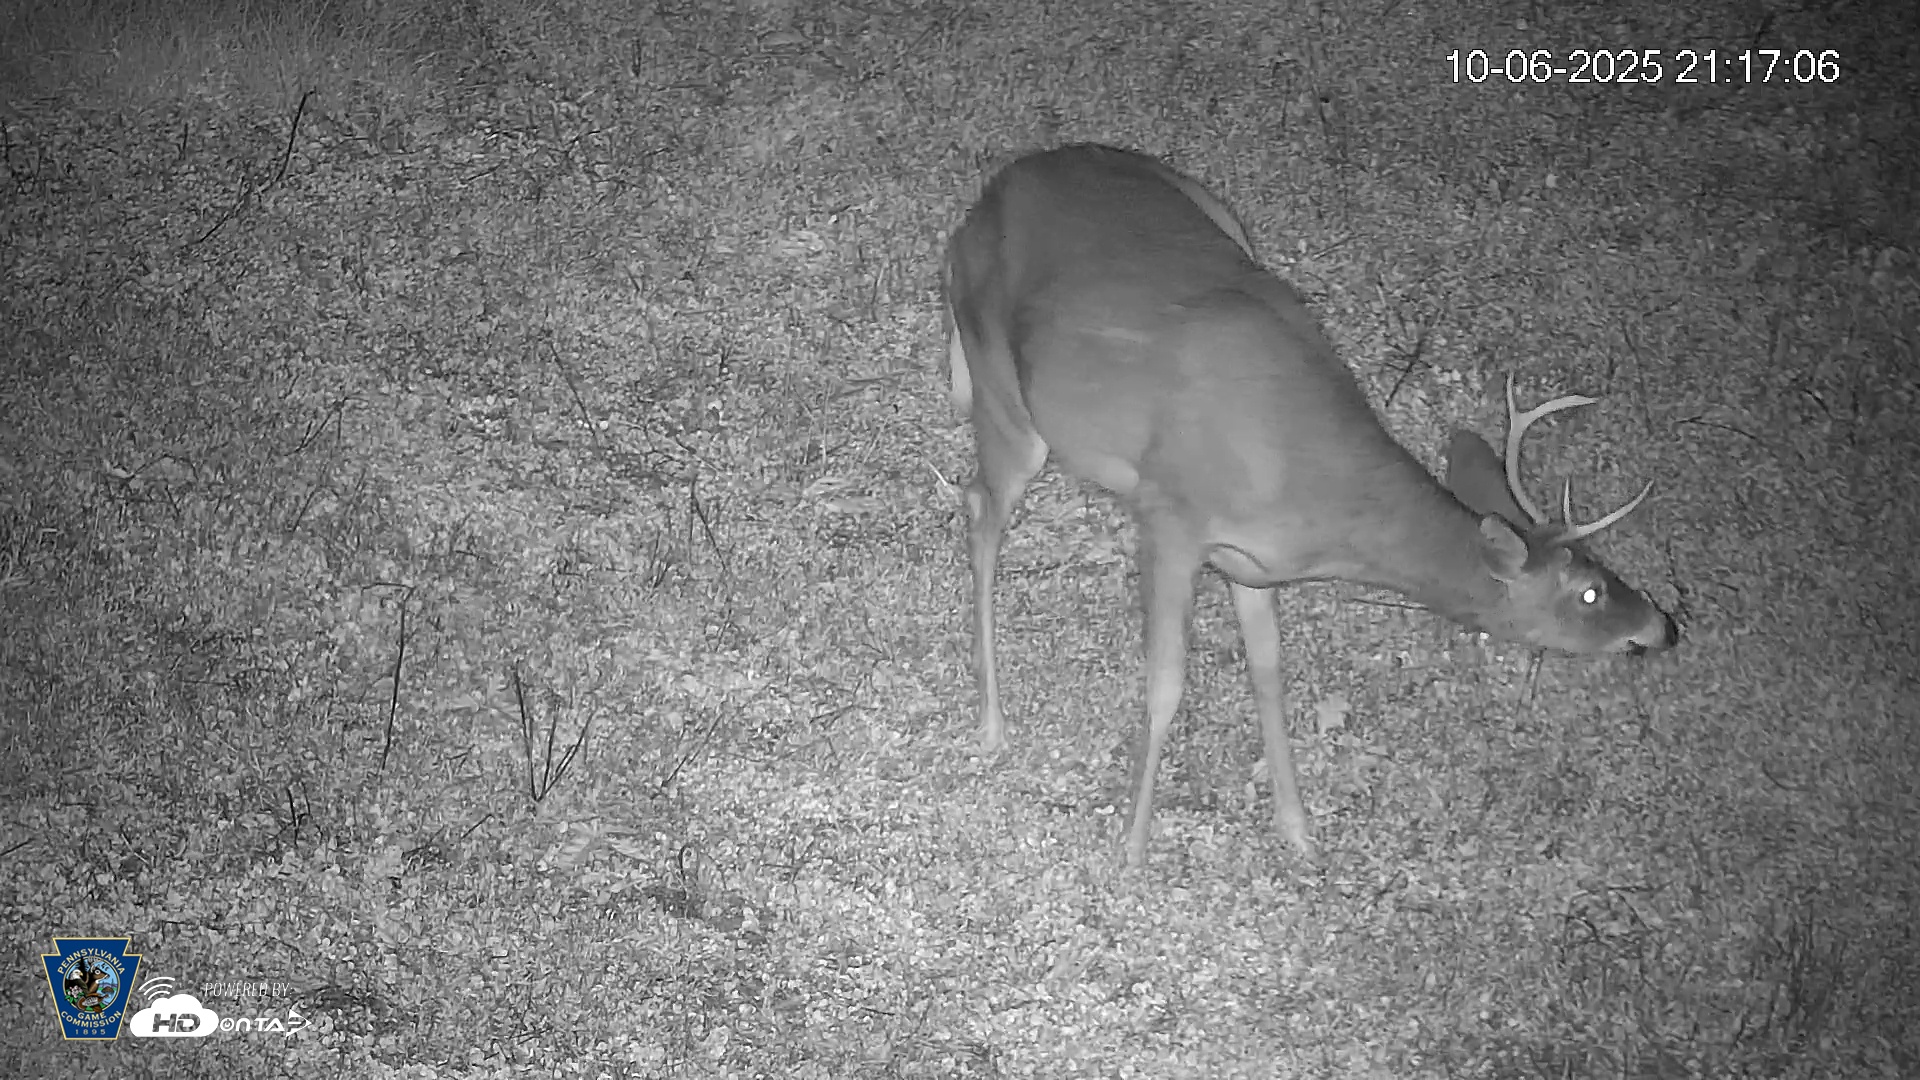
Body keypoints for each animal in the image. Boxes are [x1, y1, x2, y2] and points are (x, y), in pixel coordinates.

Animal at [943, 144, 1677, 867]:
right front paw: (1131, 849)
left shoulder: (1251, 562)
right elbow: (1167, 681)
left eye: (1605, 567)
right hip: (1006, 394)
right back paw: (991, 722)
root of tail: (987, 196)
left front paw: (1297, 830)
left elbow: (1269, 673)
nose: (1661, 625)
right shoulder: (1171, 516)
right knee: (981, 511)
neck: (1316, 489)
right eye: (1588, 592)